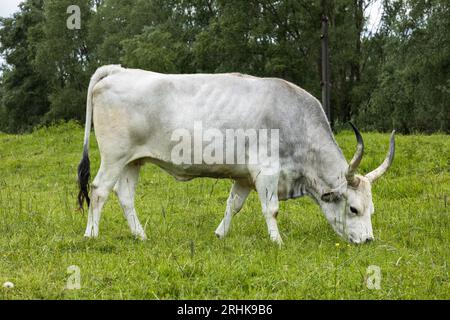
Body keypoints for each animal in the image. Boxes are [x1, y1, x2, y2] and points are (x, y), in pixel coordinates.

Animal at [77, 65, 394, 245]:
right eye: (353, 209)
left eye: (371, 210)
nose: (368, 240)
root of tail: (119, 71)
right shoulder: (266, 172)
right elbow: (271, 209)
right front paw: (277, 242)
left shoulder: (244, 177)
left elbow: (233, 205)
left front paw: (220, 234)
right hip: (114, 157)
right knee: (99, 190)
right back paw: (91, 235)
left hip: (133, 161)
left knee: (124, 196)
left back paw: (140, 236)